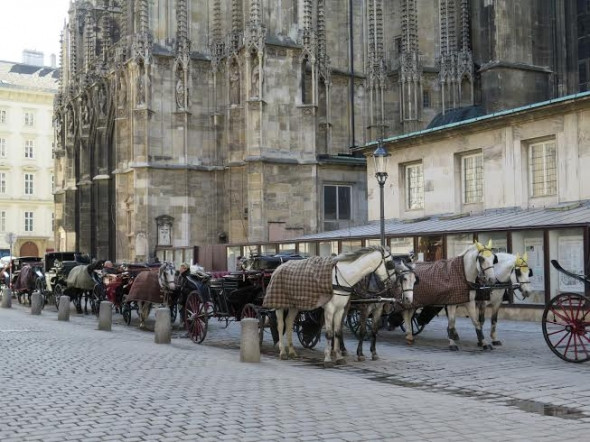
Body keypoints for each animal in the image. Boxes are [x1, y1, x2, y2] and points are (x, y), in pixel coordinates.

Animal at [262, 246, 399, 368]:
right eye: (390, 264)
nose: (393, 283)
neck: (342, 277)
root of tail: (279, 267)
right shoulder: (330, 309)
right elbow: (329, 333)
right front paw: (328, 359)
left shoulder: (340, 309)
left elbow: (337, 332)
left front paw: (339, 357)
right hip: (280, 304)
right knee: (281, 325)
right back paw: (282, 352)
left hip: (294, 305)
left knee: (289, 323)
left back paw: (291, 351)